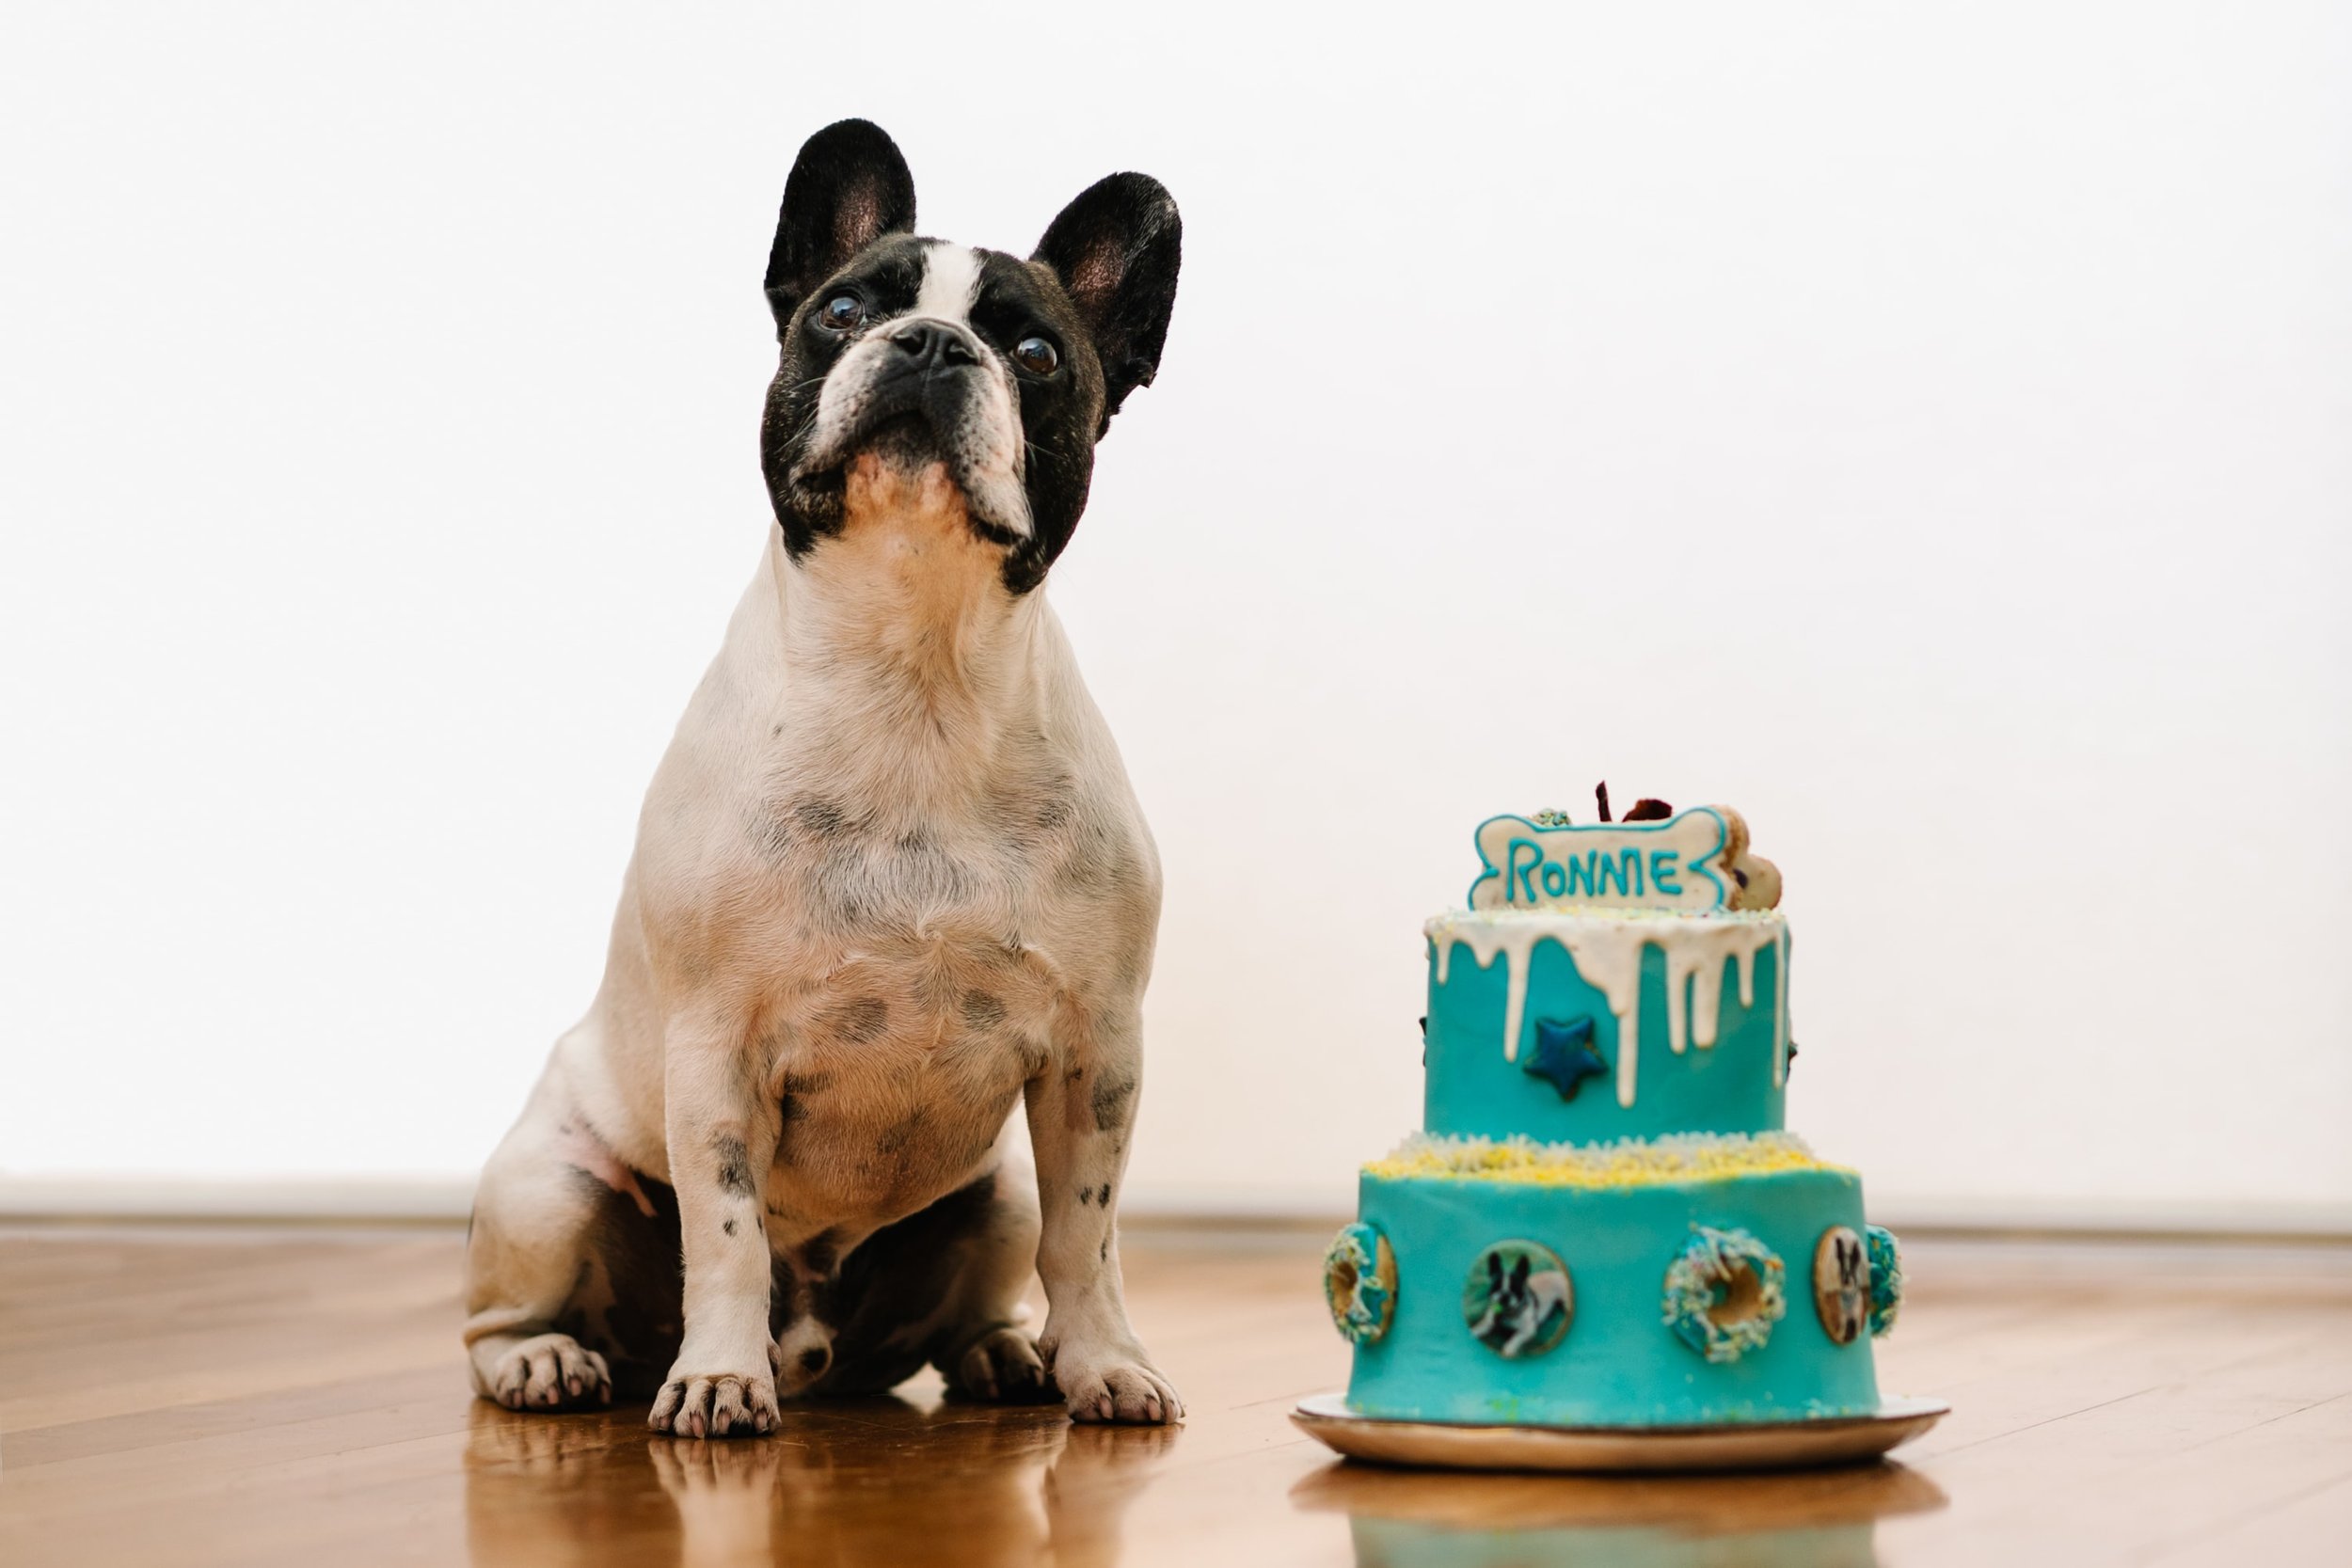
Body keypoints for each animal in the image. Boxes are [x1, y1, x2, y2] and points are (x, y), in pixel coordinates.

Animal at [458, 119, 1185, 1438]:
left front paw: (1105, 1358)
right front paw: (717, 1378)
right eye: (842, 311)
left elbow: (1087, 1234)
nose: (931, 343)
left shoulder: (1094, 1058)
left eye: (1038, 352)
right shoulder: (716, 1053)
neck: (914, 672)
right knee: (499, 1317)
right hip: (548, 1189)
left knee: (992, 1284)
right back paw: (550, 1361)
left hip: (992, 1190)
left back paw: (1011, 1355)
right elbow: (726, 1229)